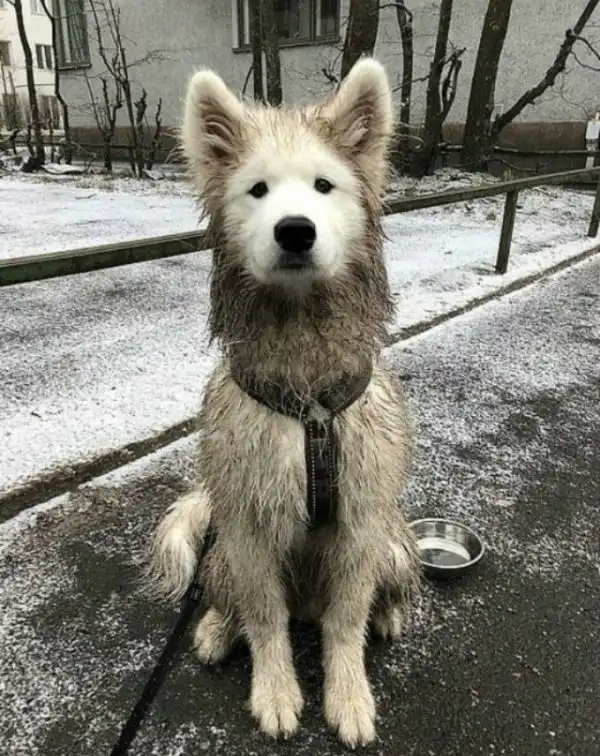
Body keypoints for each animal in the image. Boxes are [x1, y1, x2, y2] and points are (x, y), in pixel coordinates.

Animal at [147, 57, 421, 748]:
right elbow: (264, 618)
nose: (295, 230)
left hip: (393, 543)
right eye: (258, 190)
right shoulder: (247, 524)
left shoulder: (360, 525)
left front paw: (348, 694)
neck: (309, 406)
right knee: (236, 601)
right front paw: (274, 690)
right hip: (221, 550)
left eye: (324, 186)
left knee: (365, 599)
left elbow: (345, 623)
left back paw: (388, 613)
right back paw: (218, 627)